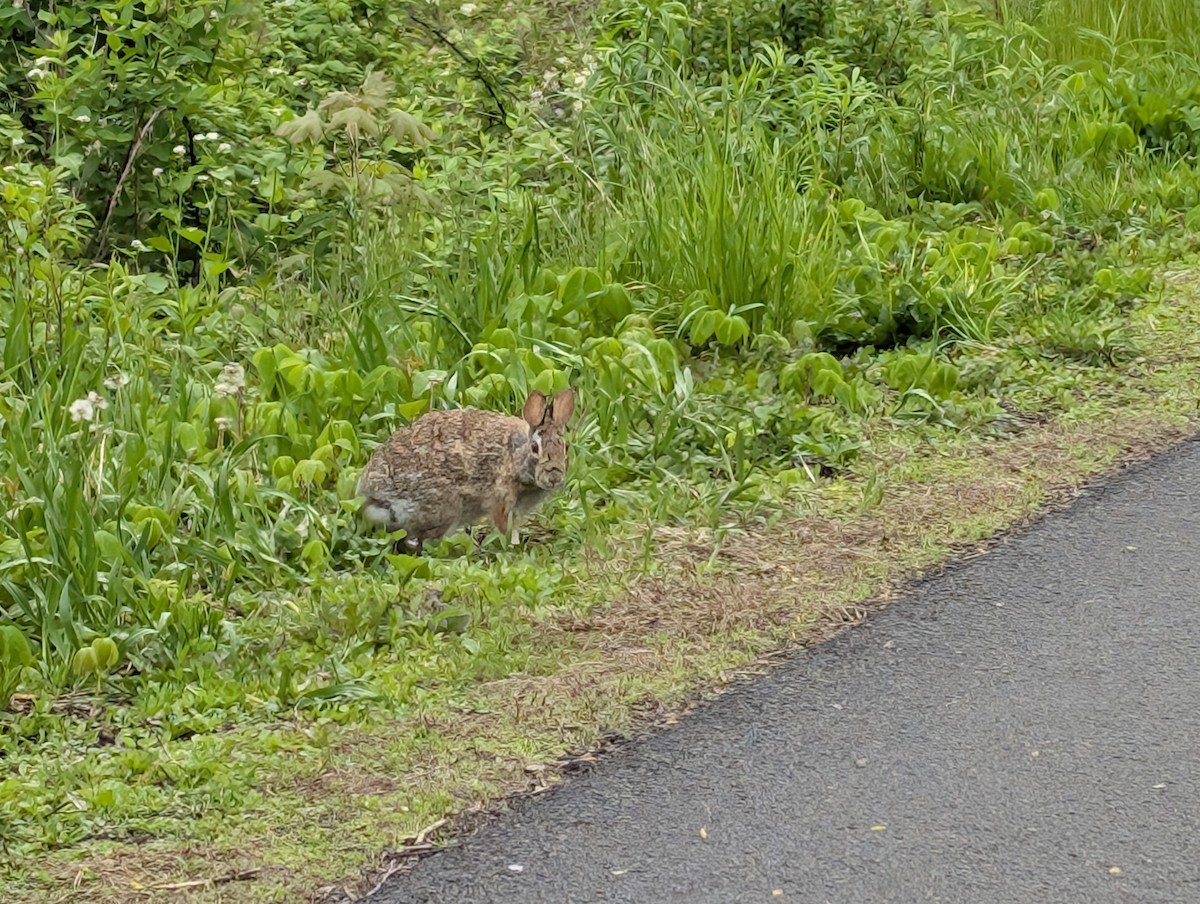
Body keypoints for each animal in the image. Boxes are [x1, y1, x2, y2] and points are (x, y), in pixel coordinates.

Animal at [357, 388, 576, 550]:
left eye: (566, 448)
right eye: (534, 448)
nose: (554, 477)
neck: (513, 454)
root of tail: (374, 496)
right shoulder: (501, 496)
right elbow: (503, 525)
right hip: (445, 507)